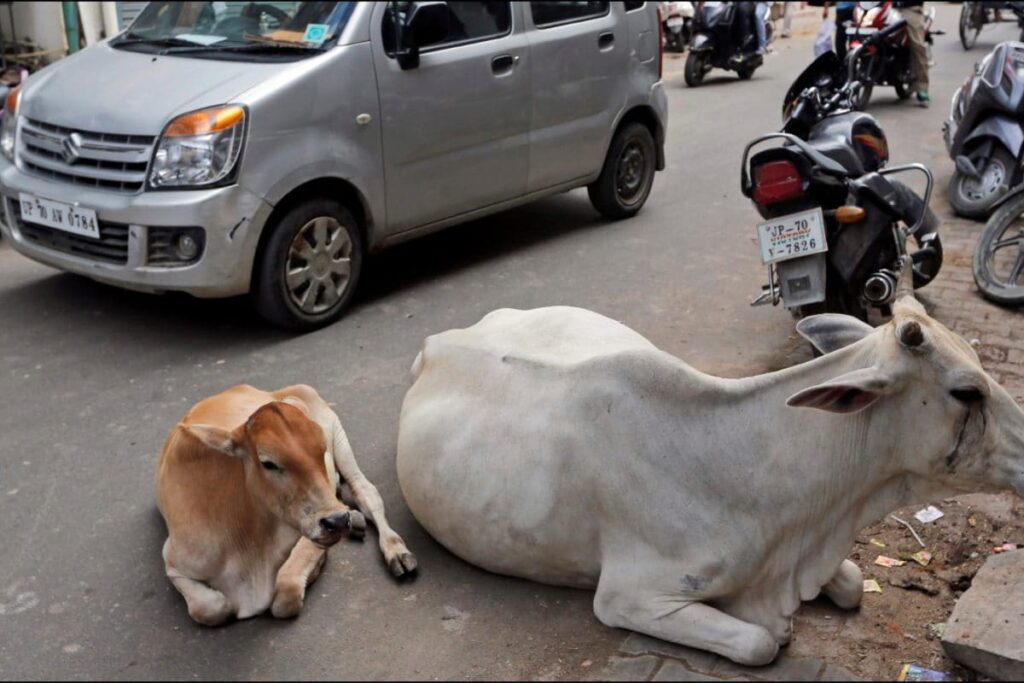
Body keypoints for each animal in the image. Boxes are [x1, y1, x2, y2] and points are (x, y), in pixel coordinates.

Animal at [157, 384, 416, 626]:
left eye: (321, 449)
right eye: (267, 462)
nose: (337, 521)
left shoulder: (308, 532)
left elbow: (286, 594)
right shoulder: (173, 563)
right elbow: (210, 608)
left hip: (339, 435)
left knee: (365, 492)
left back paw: (395, 551)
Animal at [396, 296, 1024, 666]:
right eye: (967, 391)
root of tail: (438, 341)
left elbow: (848, 585)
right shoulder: (628, 596)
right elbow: (760, 642)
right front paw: (778, 632)